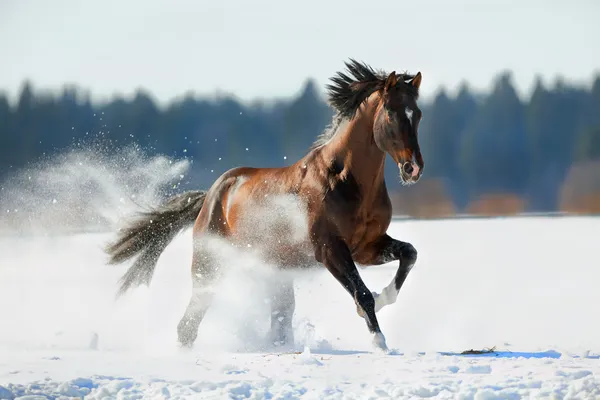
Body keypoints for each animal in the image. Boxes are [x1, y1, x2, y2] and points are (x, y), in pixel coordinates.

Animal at [105, 57, 424, 352]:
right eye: (391, 114)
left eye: (418, 113)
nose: (413, 168)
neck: (344, 180)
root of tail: (210, 197)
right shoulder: (330, 249)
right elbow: (362, 293)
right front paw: (379, 341)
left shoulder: (366, 247)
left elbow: (409, 254)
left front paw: (383, 300)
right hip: (210, 266)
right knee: (189, 322)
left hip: (275, 272)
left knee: (277, 319)